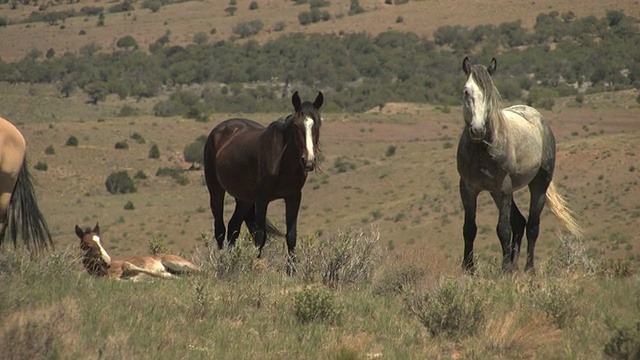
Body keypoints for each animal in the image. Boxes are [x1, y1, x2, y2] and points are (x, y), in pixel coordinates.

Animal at [458, 57, 584, 272]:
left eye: (490, 93)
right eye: (467, 91)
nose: (477, 129)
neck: (483, 149)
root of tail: (537, 117)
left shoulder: (503, 188)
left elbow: (503, 229)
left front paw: (504, 270)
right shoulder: (468, 188)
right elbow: (469, 229)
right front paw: (469, 269)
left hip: (538, 186)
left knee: (532, 225)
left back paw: (528, 269)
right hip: (497, 193)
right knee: (519, 221)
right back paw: (514, 266)